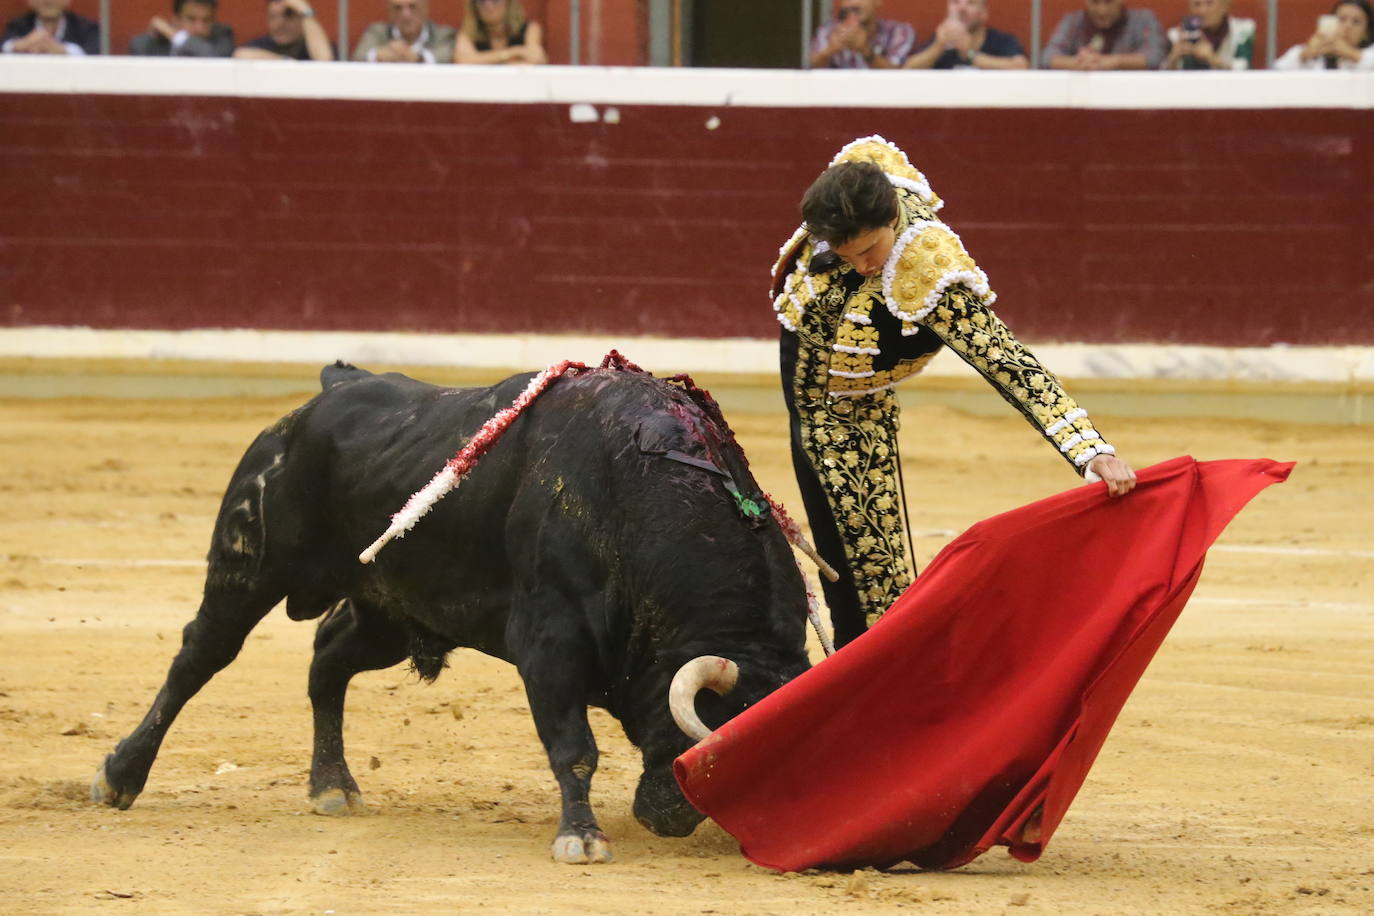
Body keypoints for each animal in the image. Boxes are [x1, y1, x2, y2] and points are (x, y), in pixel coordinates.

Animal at [88, 362, 813, 862]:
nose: (673, 819)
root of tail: (330, 391)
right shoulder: (549, 641)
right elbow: (575, 748)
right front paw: (581, 837)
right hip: (247, 568)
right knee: (199, 658)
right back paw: (119, 777)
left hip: (389, 611)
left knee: (328, 659)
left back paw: (332, 785)